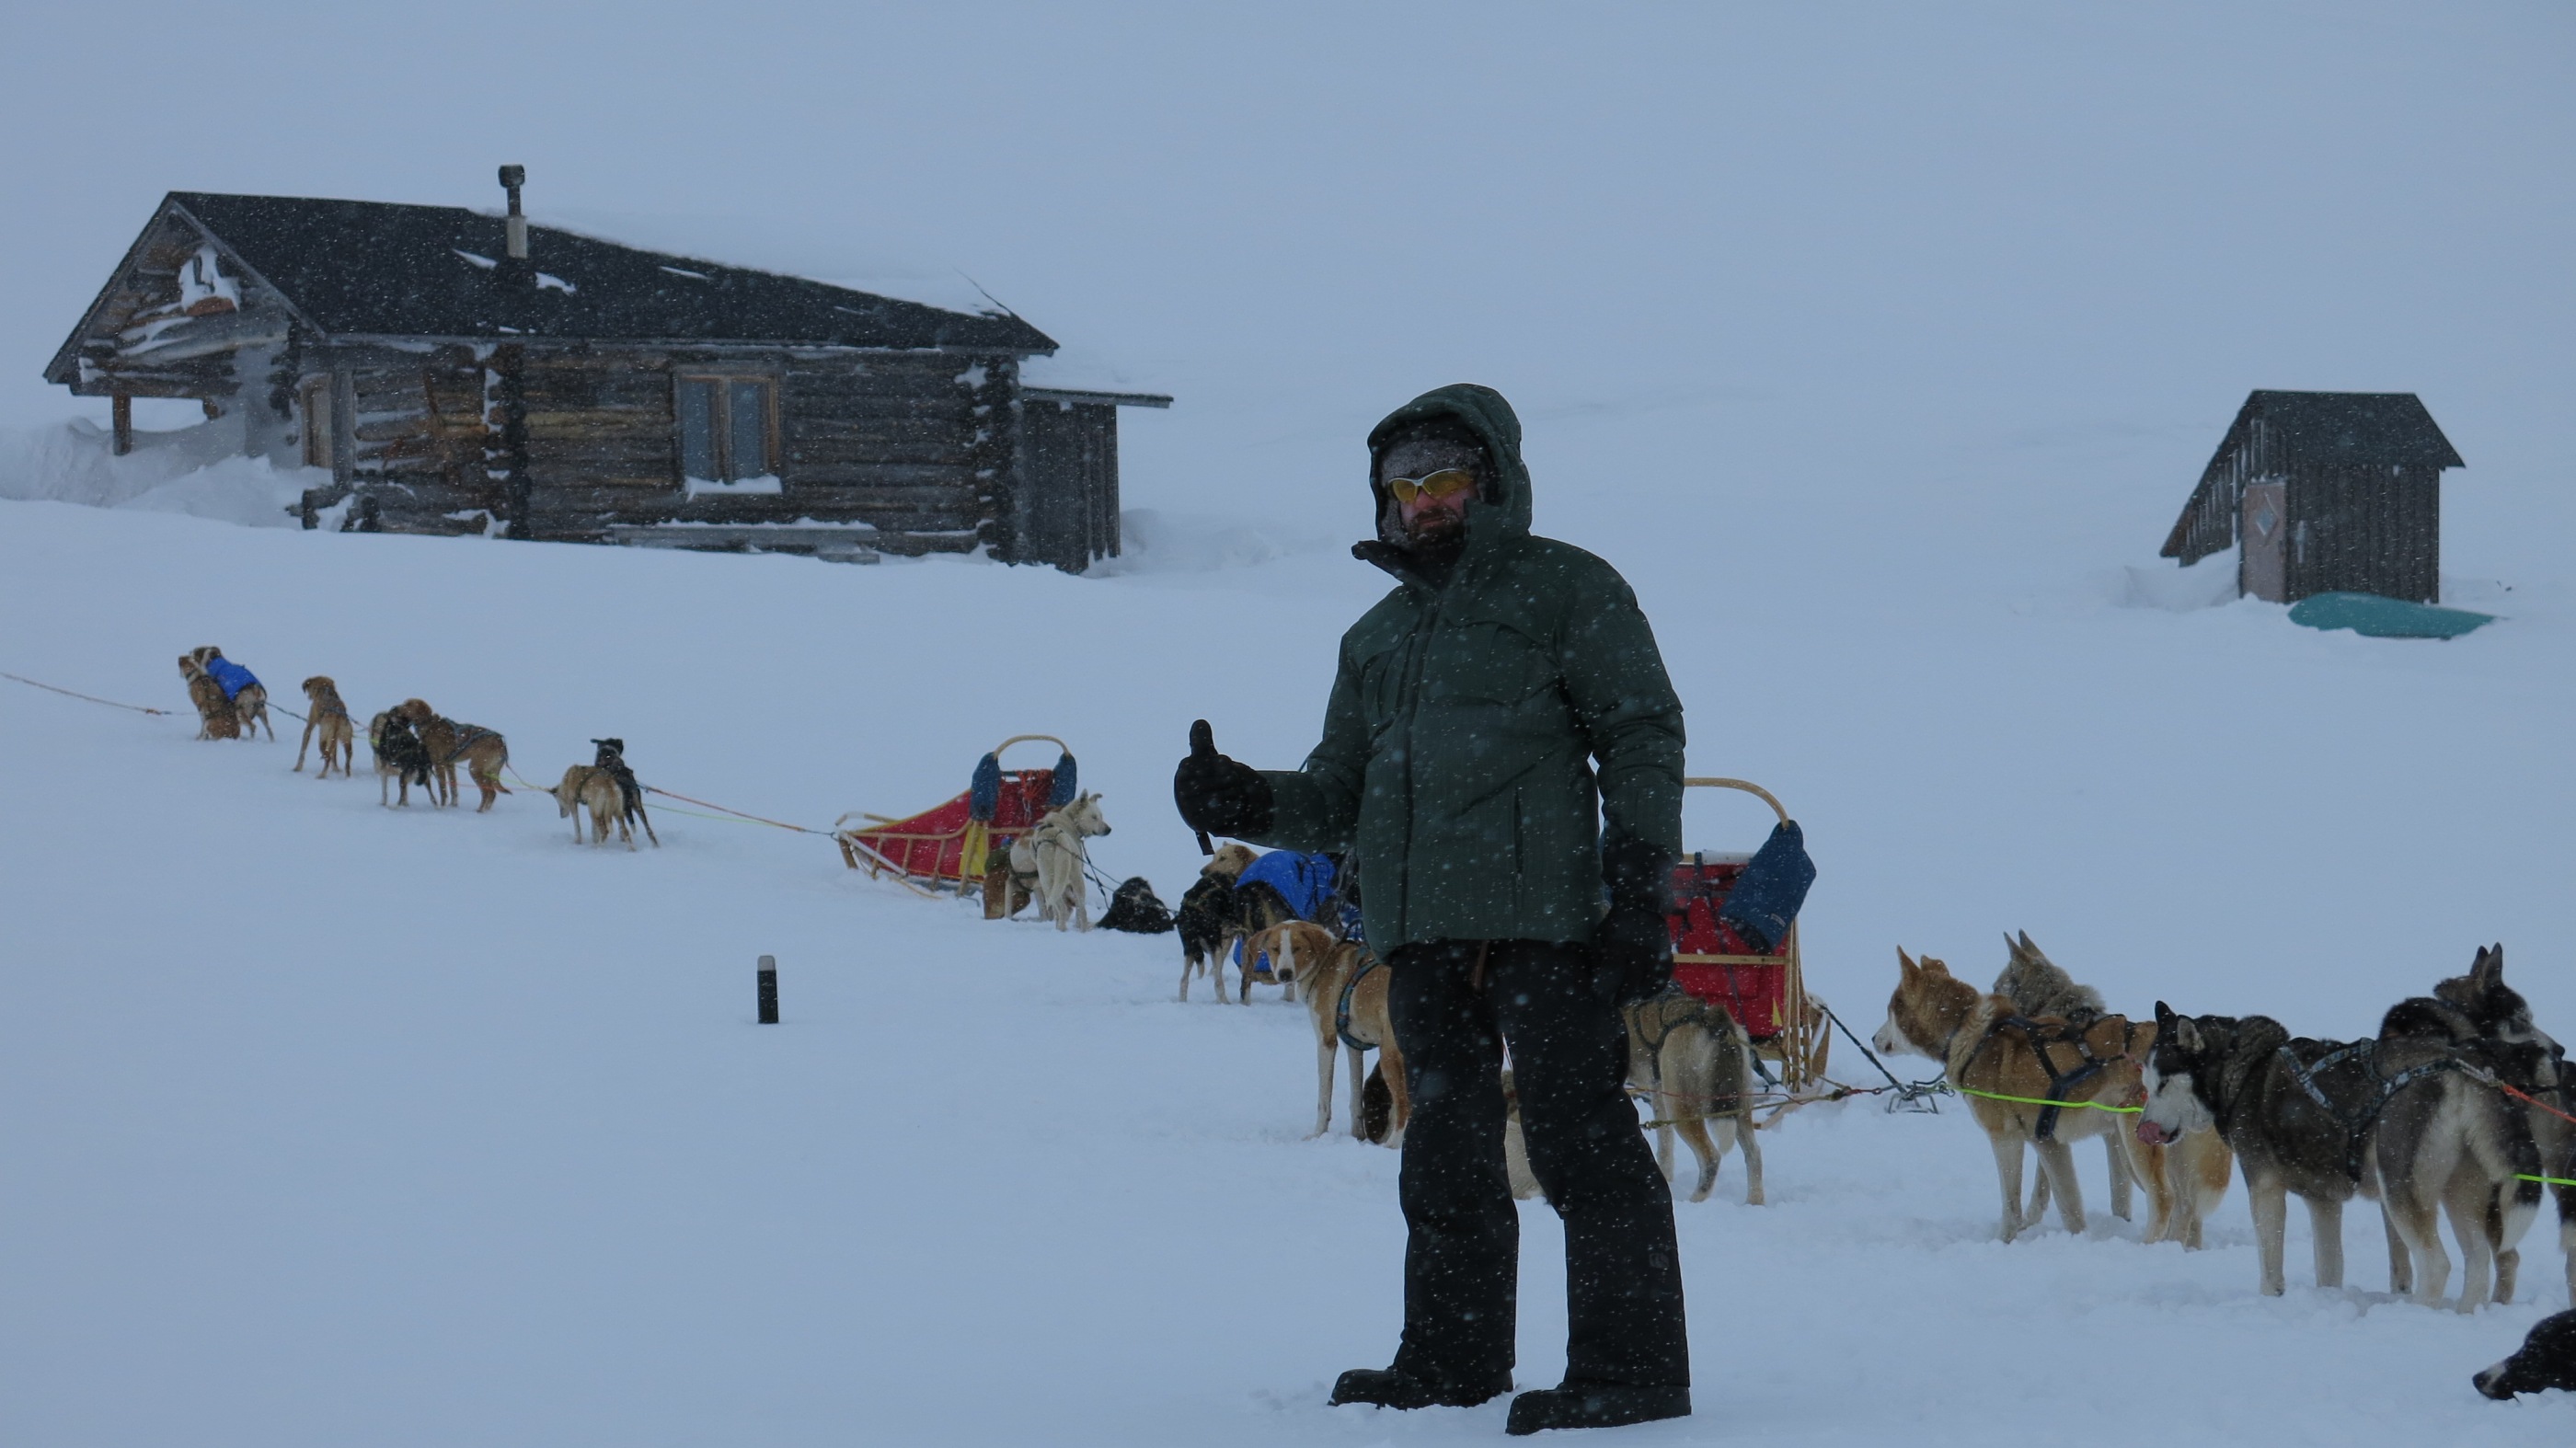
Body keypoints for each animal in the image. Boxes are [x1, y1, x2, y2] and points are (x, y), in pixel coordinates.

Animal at [999, 793, 1112, 927]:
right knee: (1077, 909)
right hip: (1074, 879)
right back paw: (1080, 927)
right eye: (1094, 817)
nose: (1109, 829)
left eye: (1101, 816)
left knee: (1057, 908)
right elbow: (1077, 911)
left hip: (1047, 882)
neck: (1068, 820)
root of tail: (1056, 837)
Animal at [1627, 983, 1772, 1201]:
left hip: (1683, 1107)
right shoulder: (1658, 1094)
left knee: (1711, 1157)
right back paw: (1754, 1202)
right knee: (1754, 1154)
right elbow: (1665, 1146)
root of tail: (1712, 1017)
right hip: (1735, 1105)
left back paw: (1695, 1201)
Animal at [1875, 948, 2174, 1241]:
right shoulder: (2048, 1143)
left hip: (2135, 1142)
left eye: (1889, 1010)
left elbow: (2016, 1205)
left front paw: (2006, 1241)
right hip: (2129, 1146)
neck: (1967, 1034)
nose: (1873, 1039)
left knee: (2163, 1198)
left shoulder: (2008, 1139)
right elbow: (2067, 1205)